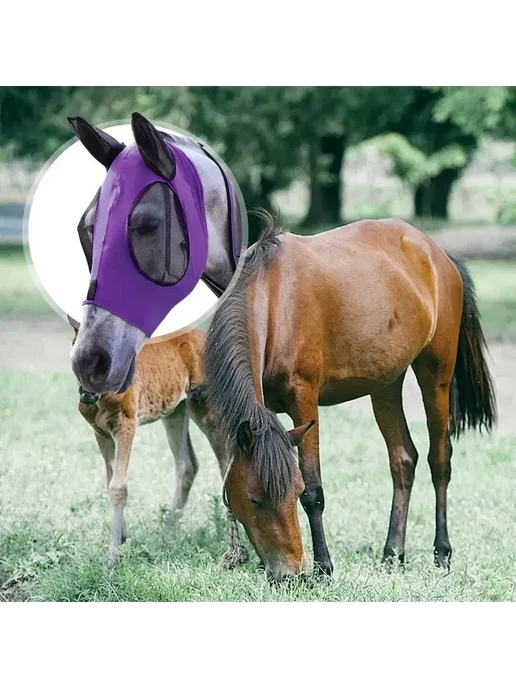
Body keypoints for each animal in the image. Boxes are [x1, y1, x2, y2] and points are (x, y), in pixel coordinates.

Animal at [70, 322, 249, 569]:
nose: (87, 391)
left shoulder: (126, 425)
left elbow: (118, 487)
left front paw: (113, 556)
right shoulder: (101, 433)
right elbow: (110, 480)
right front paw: (122, 538)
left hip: (205, 409)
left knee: (224, 464)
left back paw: (232, 545)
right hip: (175, 411)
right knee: (188, 465)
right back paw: (167, 534)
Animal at [203, 215, 497, 583]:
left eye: (294, 492)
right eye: (254, 499)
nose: (289, 574)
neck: (274, 301)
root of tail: (439, 255)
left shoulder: (304, 399)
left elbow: (315, 489)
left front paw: (324, 567)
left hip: (436, 375)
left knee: (439, 460)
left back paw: (441, 553)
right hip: (385, 385)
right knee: (403, 460)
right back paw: (392, 554)